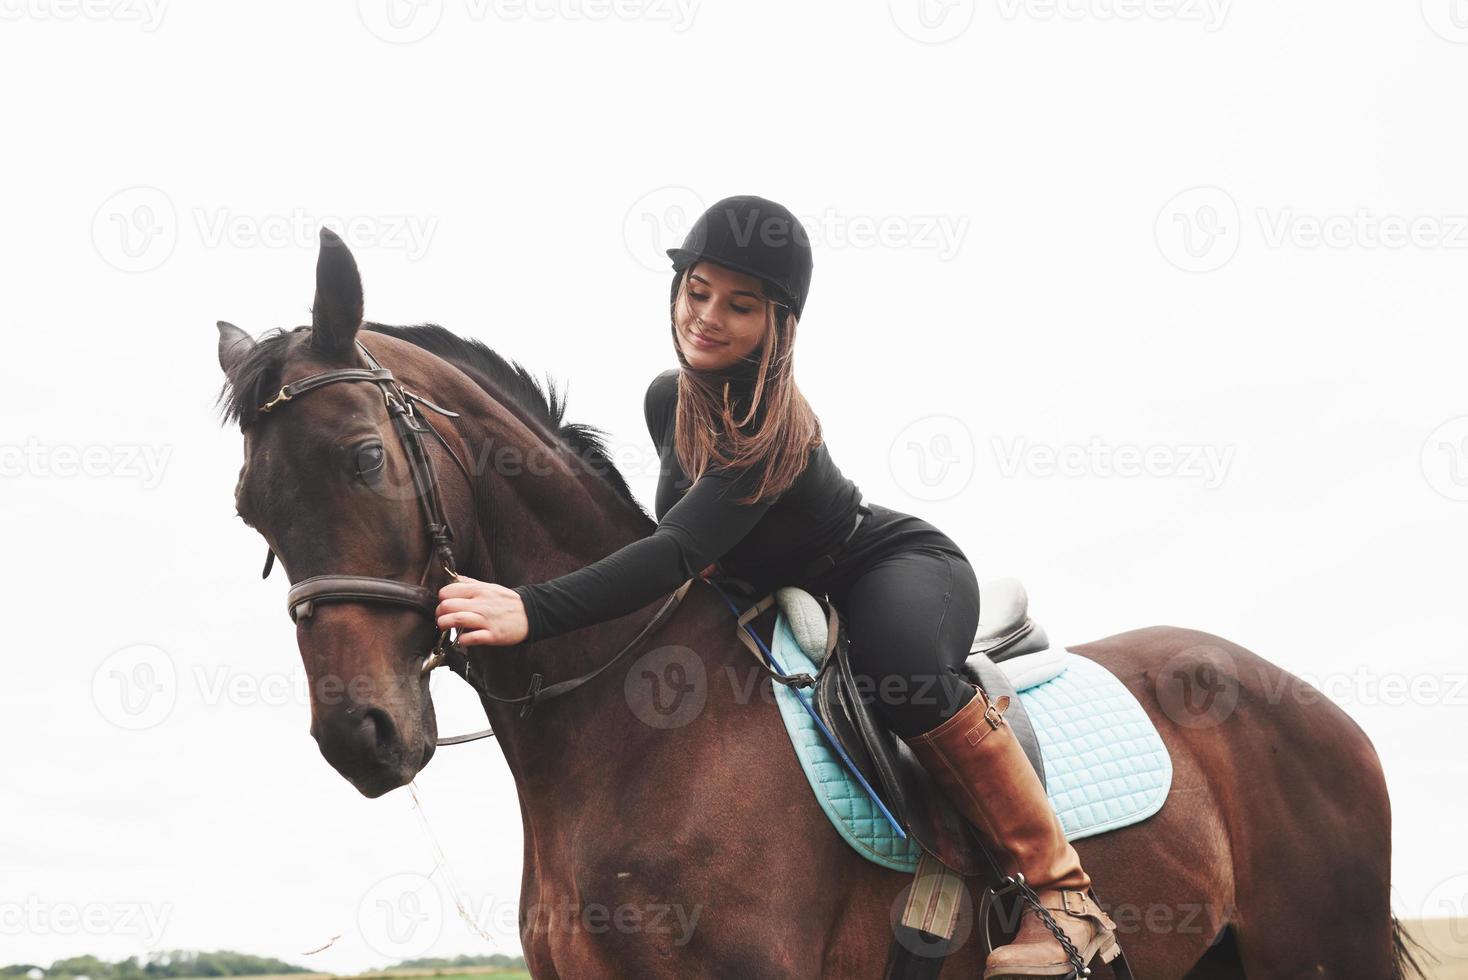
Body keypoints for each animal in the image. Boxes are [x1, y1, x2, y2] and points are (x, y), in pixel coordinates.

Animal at [214, 231, 1421, 979]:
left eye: (367, 459)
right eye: (248, 509)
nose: (360, 734)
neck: (636, 738)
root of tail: (1312, 699)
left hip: (1321, 945)